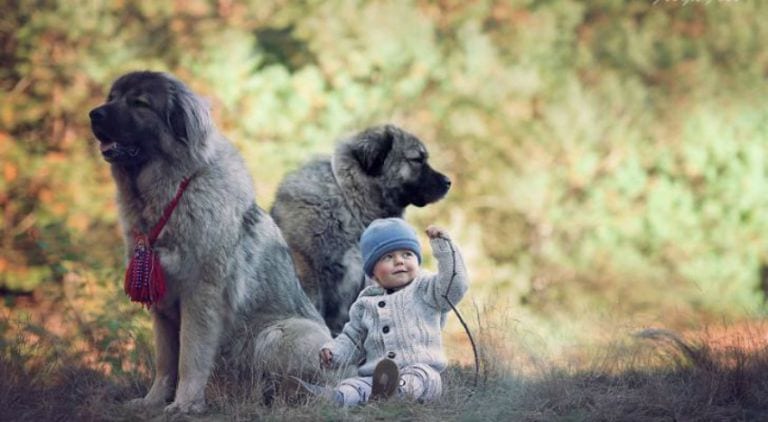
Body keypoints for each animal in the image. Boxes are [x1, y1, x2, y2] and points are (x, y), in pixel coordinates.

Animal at [90, 71, 330, 412]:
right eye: (111, 98)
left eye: (139, 103)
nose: (94, 114)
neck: (171, 193)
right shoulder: (162, 305)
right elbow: (165, 362)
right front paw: (153, 401)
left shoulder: (200, 296)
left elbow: (190, 357)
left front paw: (184, 404)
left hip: (274, 336)